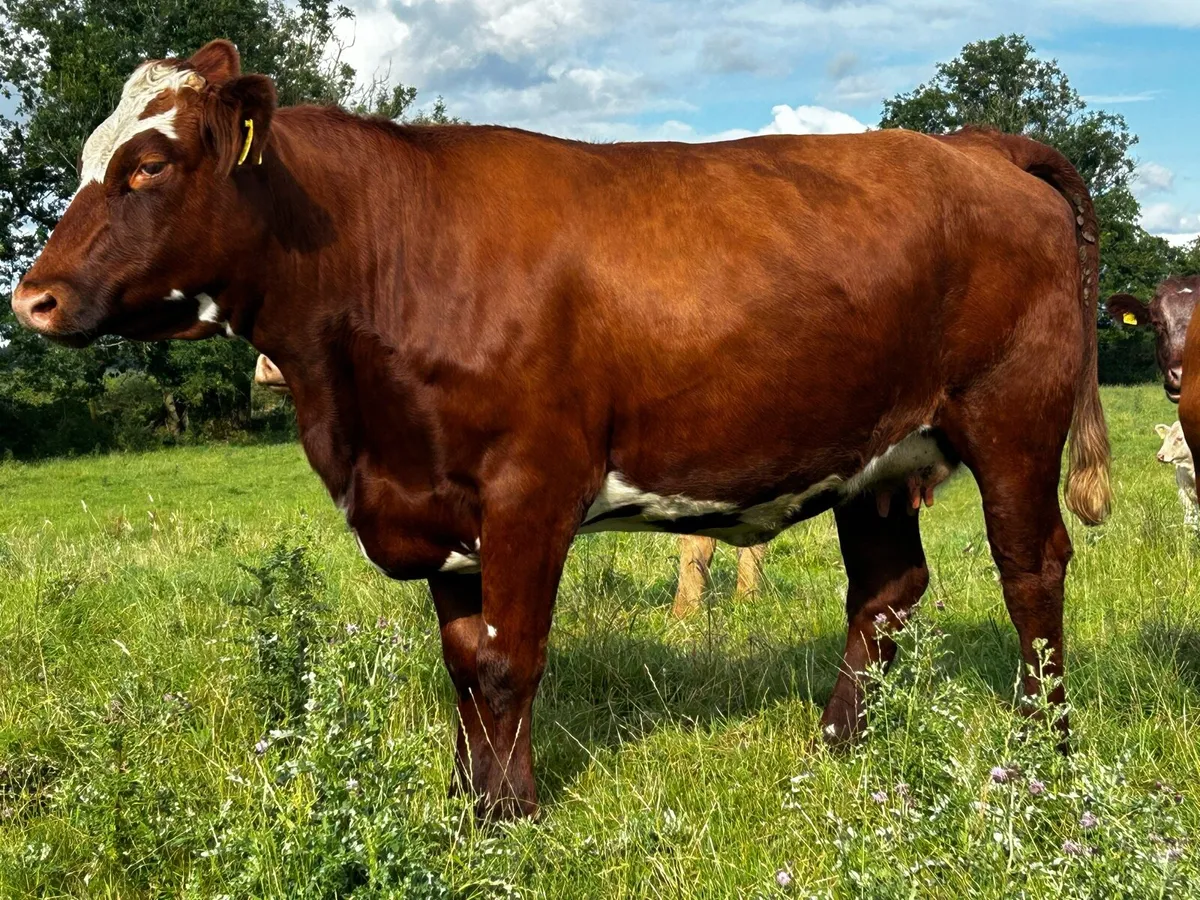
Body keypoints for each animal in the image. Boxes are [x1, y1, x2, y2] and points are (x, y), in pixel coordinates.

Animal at [11, 42, 1111, 820]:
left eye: (150, 165)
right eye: (91, 158)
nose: (34, 298)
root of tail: (974, 145)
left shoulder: (529, 487)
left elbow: (510, 660)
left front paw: (512, 818)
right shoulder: (434, 498)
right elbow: (465, 661)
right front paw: (465, 804)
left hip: (1014, 418)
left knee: (1031, 566)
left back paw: (1041, 752)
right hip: (873, 458)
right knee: (886, 592)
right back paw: (833, 751)